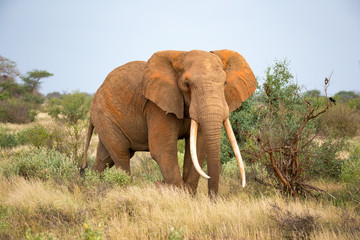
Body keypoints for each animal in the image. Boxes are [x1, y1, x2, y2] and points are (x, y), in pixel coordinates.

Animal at [81, 49, 256, 197]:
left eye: (225, 83)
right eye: (187, 84)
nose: (213, 200)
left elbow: (197, 150)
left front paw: (186, 195)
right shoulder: (157, 107)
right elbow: (162, 150)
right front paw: (175, 194)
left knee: (105, 157)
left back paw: (93, 188)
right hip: (105, 116)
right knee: (121, 154)